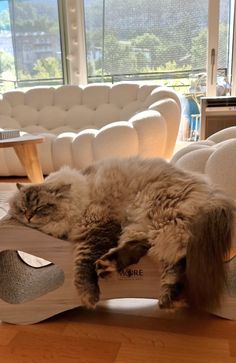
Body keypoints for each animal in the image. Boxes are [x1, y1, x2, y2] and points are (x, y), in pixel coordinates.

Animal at [8, 155, 235, 312]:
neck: (79, 195)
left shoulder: (99, 225)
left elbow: (83, 264)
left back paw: (166, 298)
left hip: (161, 220)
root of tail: (213, 192)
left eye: (40, 207)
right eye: (23, 207)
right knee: (144, 250)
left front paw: (88, 298)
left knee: (178, 259)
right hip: (143, 225)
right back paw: (111, 267)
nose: (28, 216)